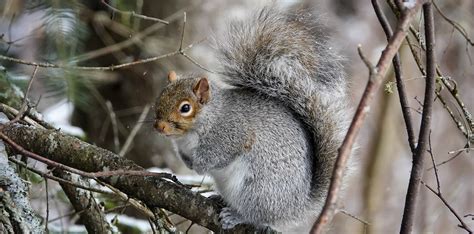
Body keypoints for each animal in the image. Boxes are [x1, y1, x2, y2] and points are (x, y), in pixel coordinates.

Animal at [154, 5, 350, 232]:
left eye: (185, 108)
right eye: (160, 96)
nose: (159, 126)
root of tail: (296, 206)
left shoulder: (231, 134)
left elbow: (218, 155)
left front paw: (199, 165)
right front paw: (187, 162)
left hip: (258, 191)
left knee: (256, 215)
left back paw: (236, 216)